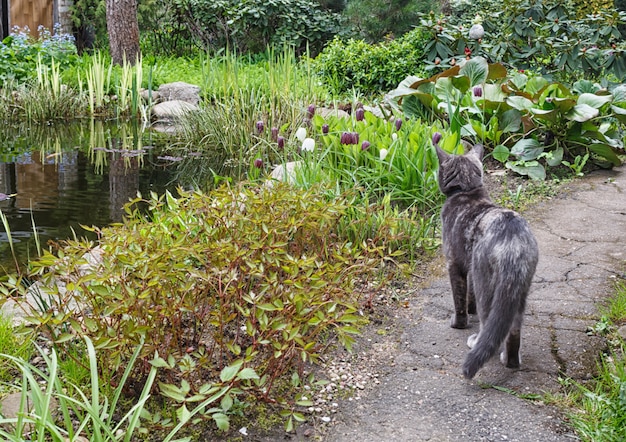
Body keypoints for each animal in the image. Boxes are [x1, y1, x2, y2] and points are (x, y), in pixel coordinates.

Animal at [434, 145, 536, 380]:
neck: (467, 191)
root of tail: (513, 243)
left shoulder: (454, 263)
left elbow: (459, 298)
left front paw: (459, 322)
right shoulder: (469, 266)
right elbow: (468, 294)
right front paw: (469, 309)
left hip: (486, 281)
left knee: (488, 318)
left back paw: (476, 341)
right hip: (519, 292)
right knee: (512, 328)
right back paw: (510, 361)